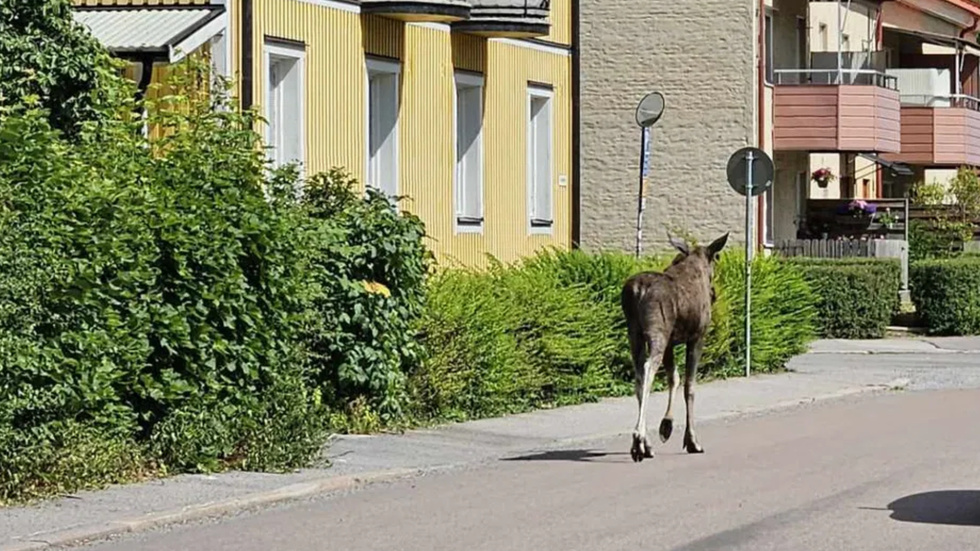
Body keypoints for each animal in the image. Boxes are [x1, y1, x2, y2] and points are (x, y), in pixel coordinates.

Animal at [620, 231, 728, 464]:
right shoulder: (697, 336)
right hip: (657, 331)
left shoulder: (671, 341)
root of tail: (637, 290)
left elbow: (674, 378)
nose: (714, 293)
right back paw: (638, 439)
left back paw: (646, 444)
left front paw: (666, 426)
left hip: (634, 333)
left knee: (638, 376)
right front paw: (692, 440)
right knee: (648, 369)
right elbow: (690, 386)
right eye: (716, 258)